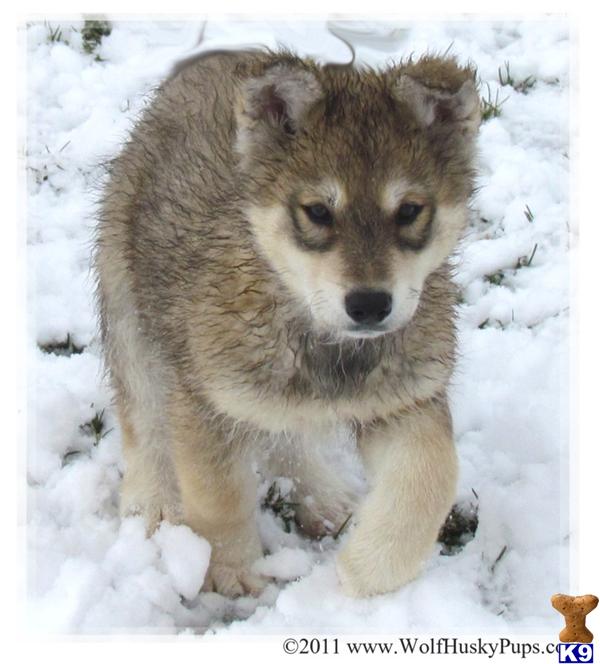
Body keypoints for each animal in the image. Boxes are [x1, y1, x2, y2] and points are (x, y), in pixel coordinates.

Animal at [94, 49, 480, 598]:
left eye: (410, 210)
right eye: (317, 211)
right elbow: (218, 496)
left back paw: (323, 498)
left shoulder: (406, 400)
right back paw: (153, 504)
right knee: (143, 418)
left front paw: (367, 571)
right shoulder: (205, 402)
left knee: (287, 435)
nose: (369, 305)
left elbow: (433, 473)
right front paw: (230, 571)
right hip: (129, 312)